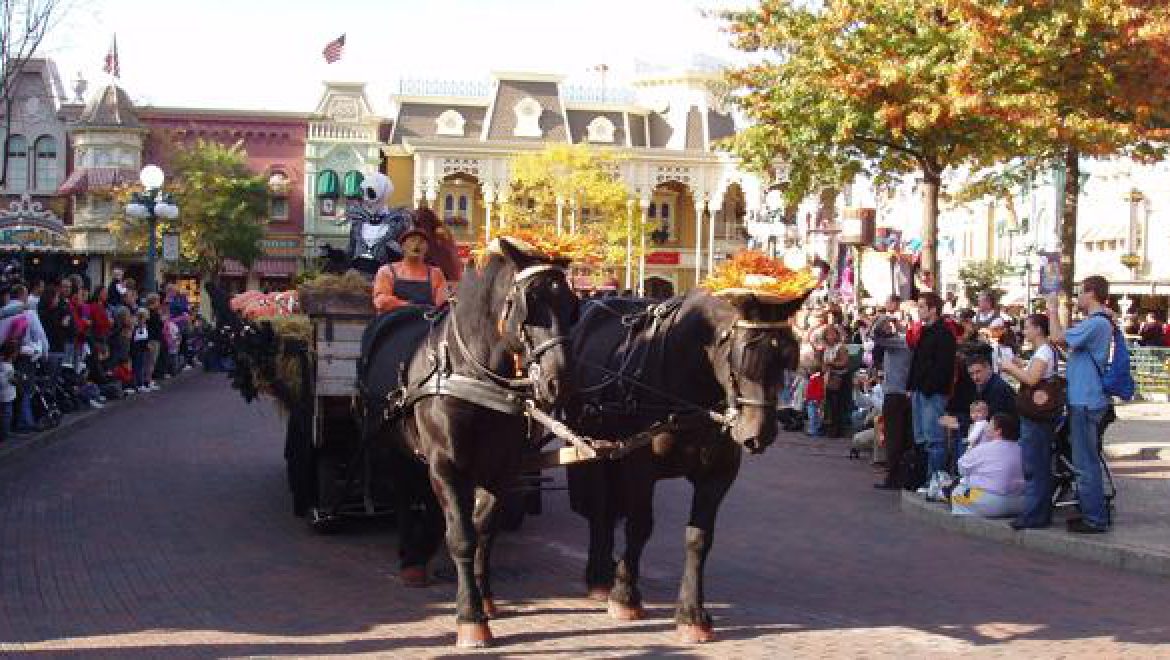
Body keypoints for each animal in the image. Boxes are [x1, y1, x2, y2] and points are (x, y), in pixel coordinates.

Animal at [355, 236, 575, 645]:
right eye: (530, 303)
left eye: (573, 305)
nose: (560, 382)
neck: (471, 372)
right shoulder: (447, 464)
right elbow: (462, 536)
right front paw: (471, 618)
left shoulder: (501, 468)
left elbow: (484, 532)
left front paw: (486, 599)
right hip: (392, 446)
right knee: (403, 494)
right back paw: (410, 558)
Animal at [563, 290, 804, 645]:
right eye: (741, 355)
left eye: (787, 356)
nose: (759, 434)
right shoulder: (639, 468)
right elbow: (639, 527)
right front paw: (625, 596)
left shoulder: (717, 475)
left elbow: (698, 539)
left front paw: (692, 615)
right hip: (591, 448)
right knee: (600, 509)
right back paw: (600, 576)